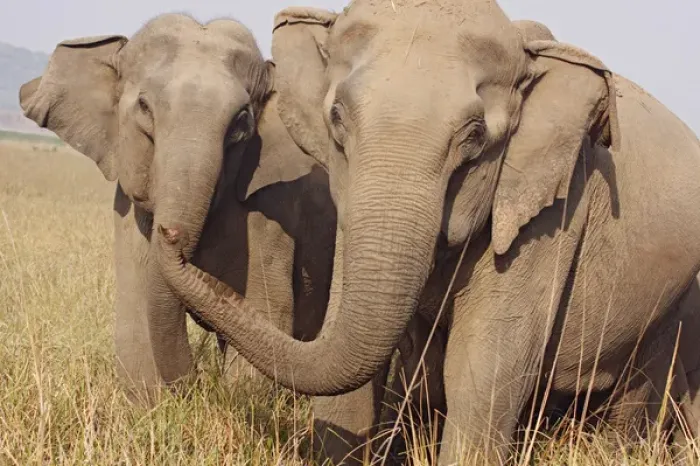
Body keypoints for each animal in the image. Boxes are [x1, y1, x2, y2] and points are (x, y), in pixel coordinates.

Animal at [154, 1, 700, 464]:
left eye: (476, 136)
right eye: (336, 119)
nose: (171, 232)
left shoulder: (551, 212)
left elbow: (480, 368)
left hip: (670, 307)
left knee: (634, 398)